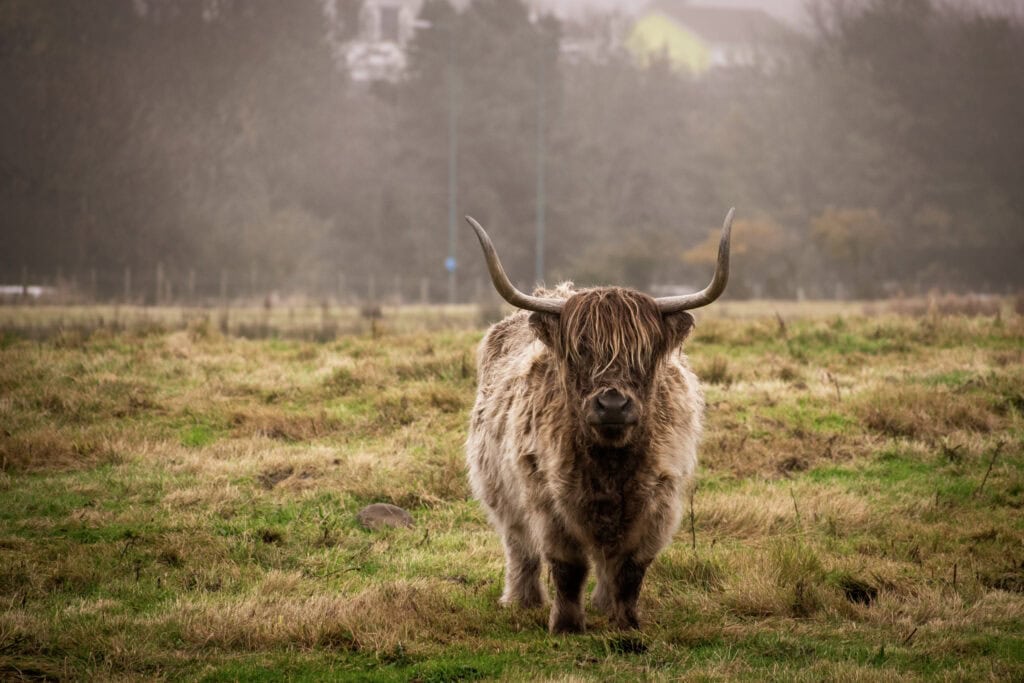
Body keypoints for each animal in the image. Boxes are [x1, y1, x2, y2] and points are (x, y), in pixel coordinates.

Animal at [464, 210, 734, 633]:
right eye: (581, 351)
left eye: (644, 354)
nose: (612, 405)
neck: (610, 463)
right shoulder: (548, 500)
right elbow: (567, 567)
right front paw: (566, 625)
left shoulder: (658, 502)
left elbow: (630, 569)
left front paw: (626, 622)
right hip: (501, 491)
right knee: (520, 547)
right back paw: (522, 601)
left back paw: (604, 604)